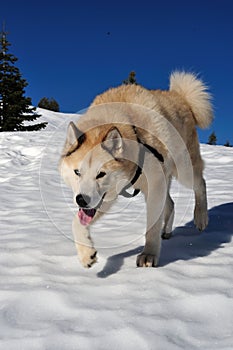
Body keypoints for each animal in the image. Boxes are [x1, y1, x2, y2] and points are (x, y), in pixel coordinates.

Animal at [59, 72, 213, 268]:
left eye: (101, 174)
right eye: (77, 172)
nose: (82, 200)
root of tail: (181, 97)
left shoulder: (154, 186)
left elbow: (151, 227)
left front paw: (149, 254)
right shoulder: (109, 196)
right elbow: (76, 223)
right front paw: (86, 254)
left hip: (184, 171)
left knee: (201, 184)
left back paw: (201, 217)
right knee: (171, 203)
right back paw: (167, 231)